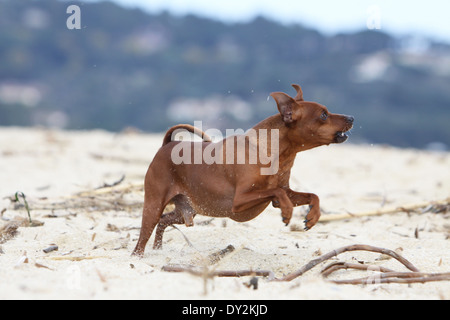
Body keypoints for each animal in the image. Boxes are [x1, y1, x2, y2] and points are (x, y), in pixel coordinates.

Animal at [132, 84, 354, 256]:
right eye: (323, 115)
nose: (351, 117)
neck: (276, 154)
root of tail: (167, 144)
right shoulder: (240, 200)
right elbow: (276, 191)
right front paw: (287, 211)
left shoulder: (288, 191)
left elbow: (311, 195)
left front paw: (313, 216)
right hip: (154, 205)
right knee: (144, 235)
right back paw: (139, 256)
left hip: (188, 210)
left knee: (163, 221)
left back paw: (158, 249)